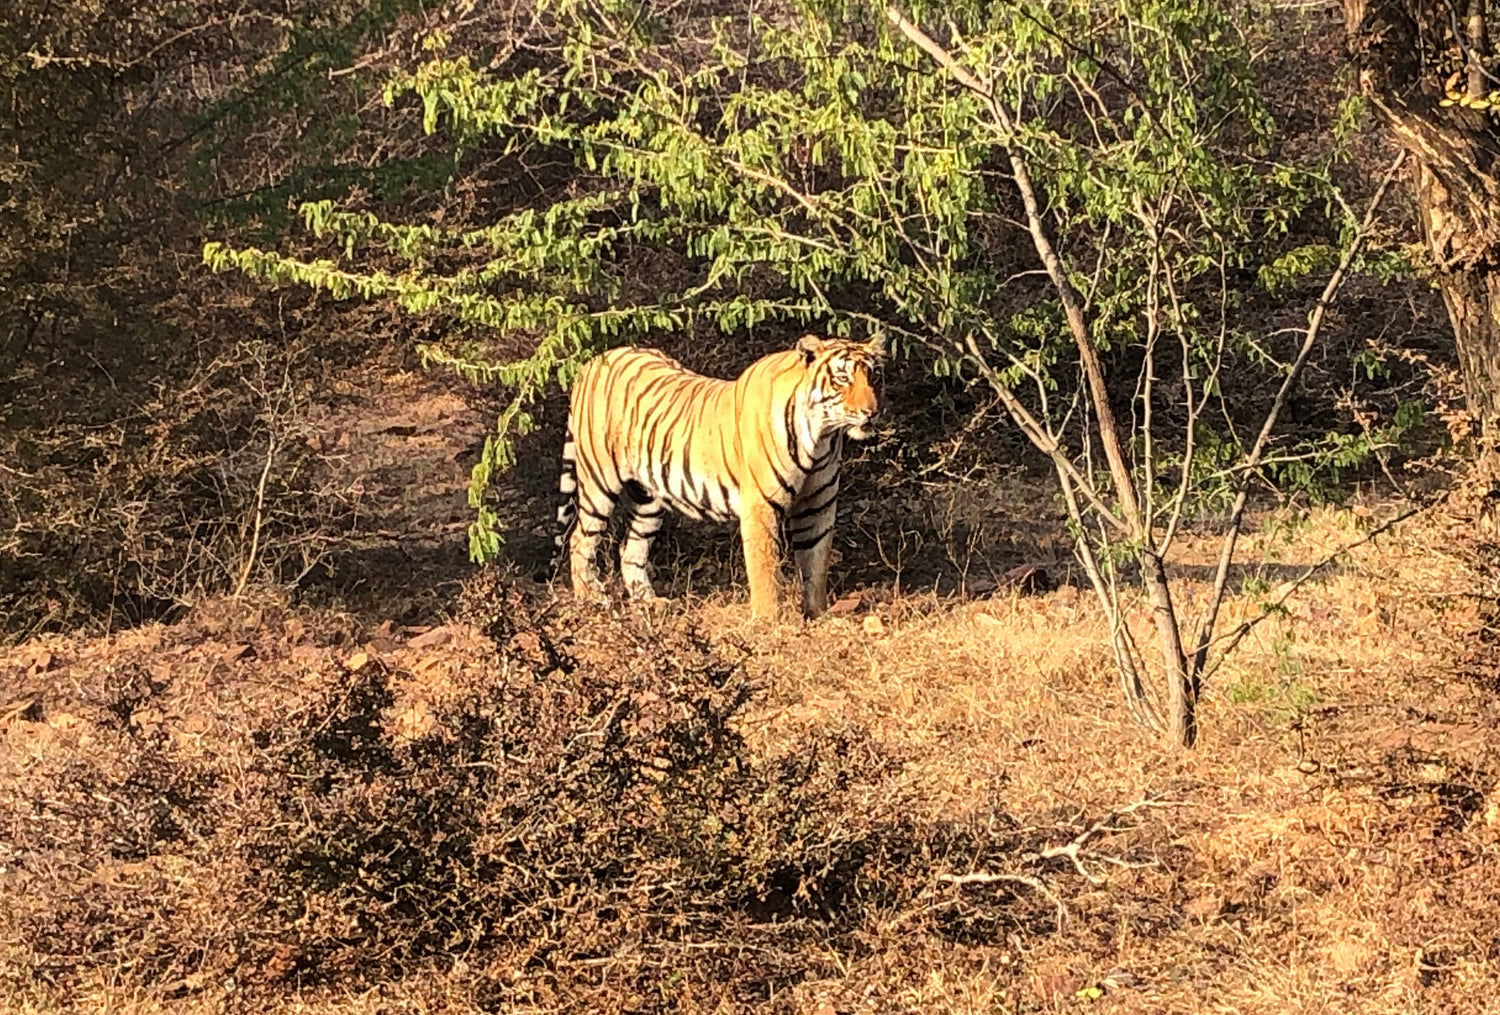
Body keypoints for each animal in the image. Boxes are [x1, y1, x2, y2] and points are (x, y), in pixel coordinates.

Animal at [552, 332, 876, 617]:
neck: (821, 439)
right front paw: (768, 621)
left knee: (630, 548)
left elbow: (816, 561)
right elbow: (764, 568)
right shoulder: (760, 506)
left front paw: (817, 615)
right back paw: (591, 598)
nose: (871, 412)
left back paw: (650, 602)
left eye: (870, 377)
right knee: (580, 539)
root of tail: (592, 362)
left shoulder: (817, 506)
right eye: (843, 379)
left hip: (648, 498)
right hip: (599, 481)